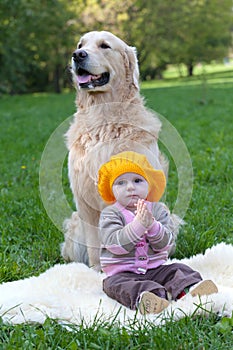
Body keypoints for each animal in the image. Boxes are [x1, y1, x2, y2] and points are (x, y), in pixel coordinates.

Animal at [61, 30, 177, 270]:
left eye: (105, 46)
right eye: (80, 45)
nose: (77, 55)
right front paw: (97, 272)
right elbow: (96, 245)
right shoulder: (84, 201)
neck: (103, 119)